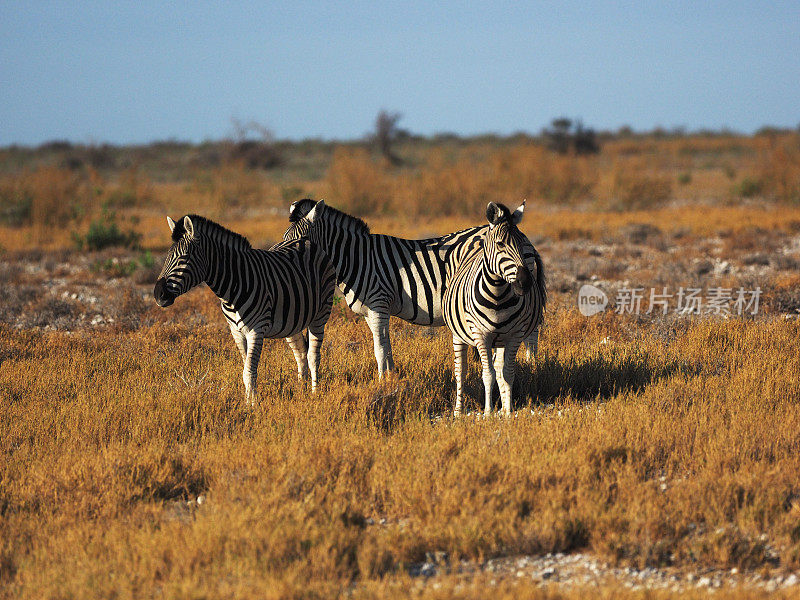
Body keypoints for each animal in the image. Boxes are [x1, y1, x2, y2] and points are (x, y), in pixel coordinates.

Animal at [154, 213, 338, 400]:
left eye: (183, 258)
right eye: (167, 257)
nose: (157, 294)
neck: (232, 288)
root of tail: (305, 240)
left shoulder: (256, 330)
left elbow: (249, 372)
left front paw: (253, 404)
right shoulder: (236, 332)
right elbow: (245, 370)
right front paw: (246, 402)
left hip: (321, 314)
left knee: (313, 355)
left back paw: (314, 394)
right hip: (292, 320)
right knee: (301, 353)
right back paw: (302, 391)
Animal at [282, 199, 544, 378]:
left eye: (300, 241)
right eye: (285, 238)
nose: (284, 258)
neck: (356, 257)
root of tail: (527, 241)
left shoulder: (378, 303)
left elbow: (379, 349)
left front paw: (382, 382)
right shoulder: (371, 312)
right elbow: (386, 347)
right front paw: (391, 377)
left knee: (531, 336)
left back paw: (532, 369)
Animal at [440, 202, 548, 418]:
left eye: (522, 245)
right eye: (500, 244)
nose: (524, 283)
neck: (497, 294)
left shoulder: (515, 334)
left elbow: (507, 372)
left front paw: (507, 411)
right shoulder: (481, 335)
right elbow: (487, 374)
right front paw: (489, 412)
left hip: (501, 338)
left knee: (498, 368)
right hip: (459, 334)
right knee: (460, 370)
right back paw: (458, 410)